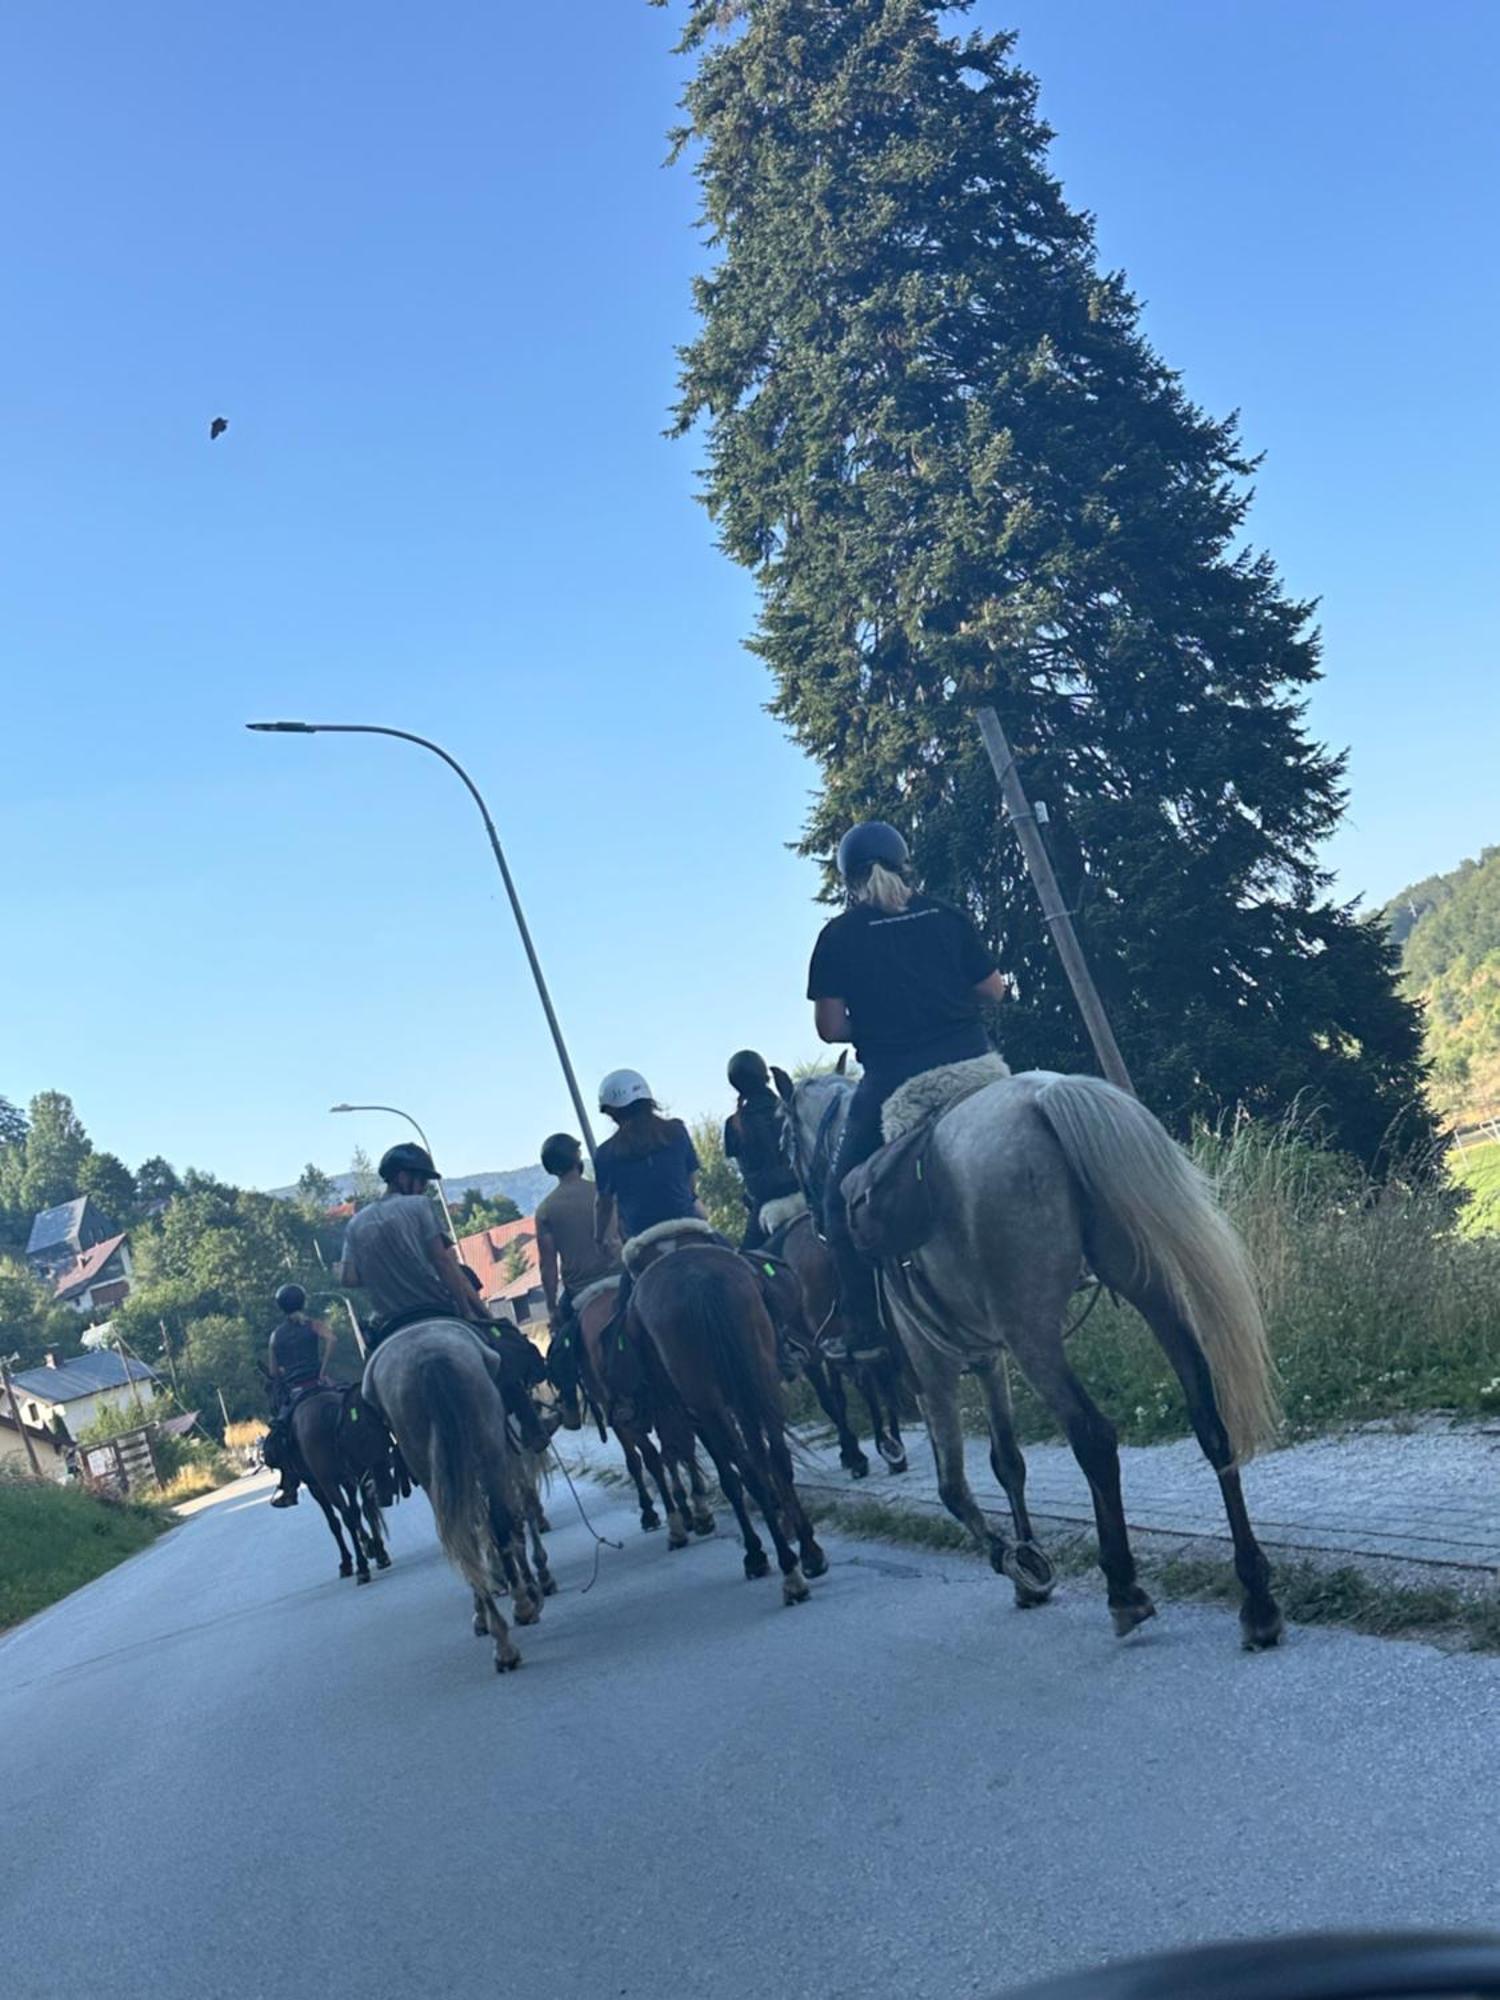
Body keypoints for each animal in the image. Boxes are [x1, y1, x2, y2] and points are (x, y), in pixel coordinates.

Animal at [628, 1240, 828, 1600]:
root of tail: (698, 1281)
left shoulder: (701, 1415)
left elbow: (729, 1478)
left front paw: (755, 1552)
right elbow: (759, 1462)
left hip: (711, 1404)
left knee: (748, 1473)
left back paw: (785, 1567)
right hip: (759, 1379)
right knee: (775, 1460)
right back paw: (807, 1555)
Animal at [780, 1072, 1288, 1648]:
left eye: (786, 1141)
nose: (813, 1215)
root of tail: (1045, 1096)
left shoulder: (932, 1368)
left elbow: (953, 1486)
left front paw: (1016, 1562)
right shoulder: (987, 1360)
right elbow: (1007, 1463)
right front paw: (1028, 1565)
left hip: (1031, 1333)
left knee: (1092, 1436)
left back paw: (1124, 1590)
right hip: (1149, 1288)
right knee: (1208, 1419)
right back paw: (1256, 1598)